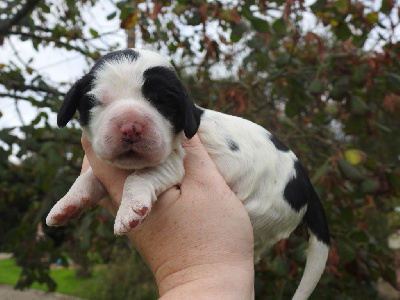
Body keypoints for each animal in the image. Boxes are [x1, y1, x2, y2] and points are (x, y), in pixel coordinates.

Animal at [47, 48, 330, 298]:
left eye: (161, 101)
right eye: (96, 101)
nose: (131, 128)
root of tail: (308, 187)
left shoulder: (172, 162)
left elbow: (139, 177)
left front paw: (132, 209)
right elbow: (87, 178)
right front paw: (68, 204)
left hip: (264, 215)